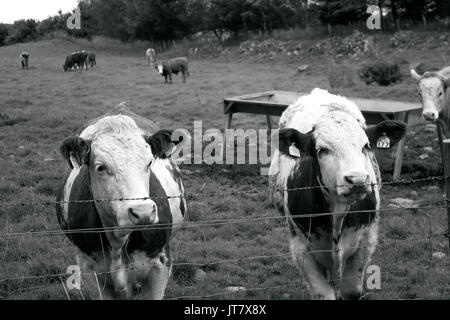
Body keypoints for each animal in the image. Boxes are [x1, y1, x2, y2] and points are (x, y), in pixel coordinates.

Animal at [268, 88, 408, 300]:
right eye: (322, 150)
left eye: (366, 146)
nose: (357, 179)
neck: (338, 214)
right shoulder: (300, 249)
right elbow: (324, 294)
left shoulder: (364, 242)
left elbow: (351, 290)